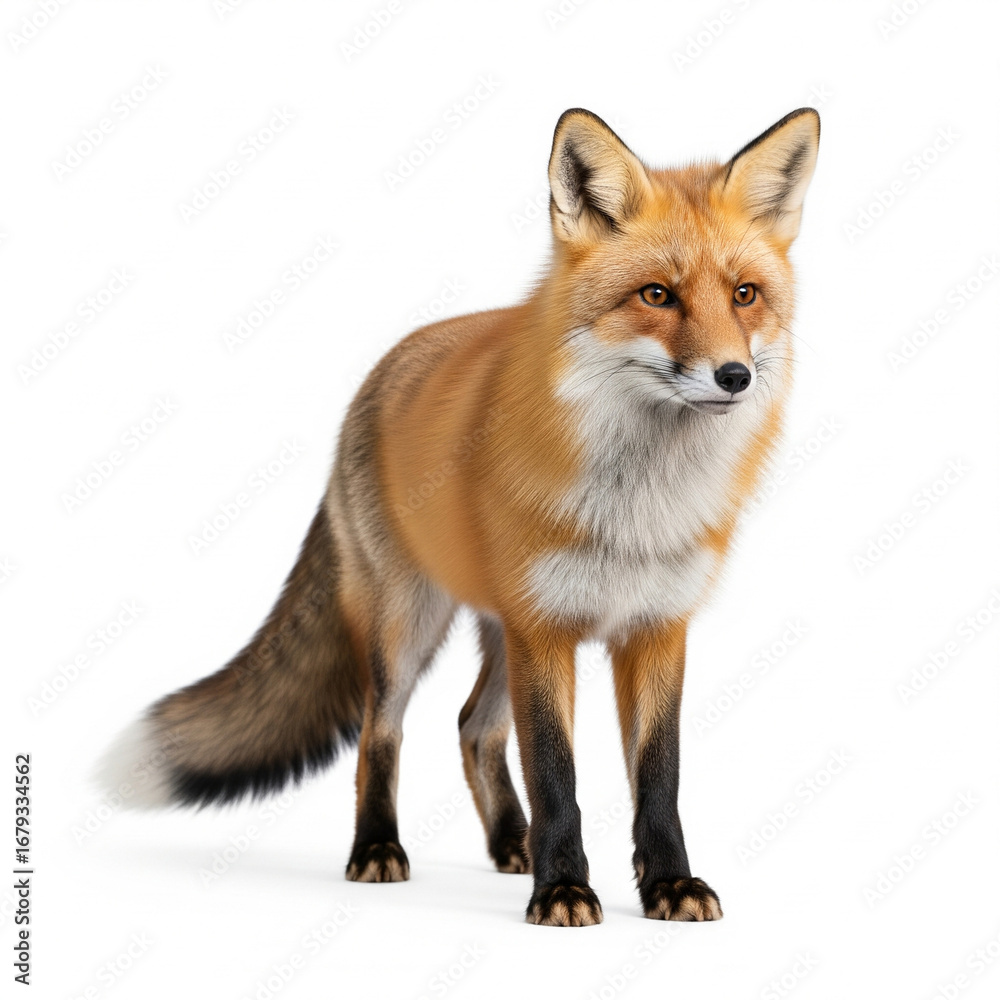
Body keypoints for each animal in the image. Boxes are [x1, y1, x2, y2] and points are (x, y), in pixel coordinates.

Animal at [100, 106, 820, 926]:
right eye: (658, 296)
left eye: (745, 294)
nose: (734, 376)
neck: (636, 506)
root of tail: (382, 370)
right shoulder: (547, 628)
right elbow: (557, 774)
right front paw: (564, 889)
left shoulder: (656, 627)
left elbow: (658, 776)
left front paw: (668, 883)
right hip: (409, 622)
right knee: (381, 733)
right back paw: (378, 849)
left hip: (500, 631)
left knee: (473, 727)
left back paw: (512, 842)